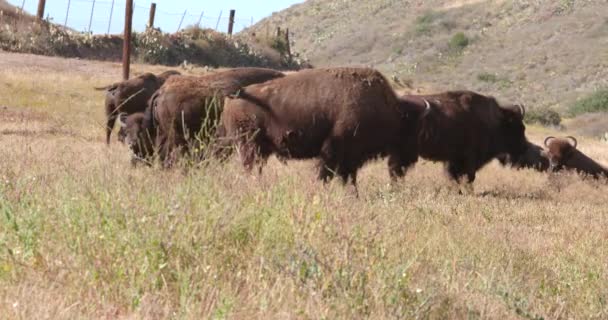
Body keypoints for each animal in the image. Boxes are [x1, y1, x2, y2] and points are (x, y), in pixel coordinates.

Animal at [221, 67, 420, 188]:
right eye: (412, 131)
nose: (410, 161)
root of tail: (232, 99)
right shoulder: (334, 151)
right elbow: (326, 174)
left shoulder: (350, 159)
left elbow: (348, 178)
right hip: (249, 147)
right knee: (250, 168)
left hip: (259, 150)